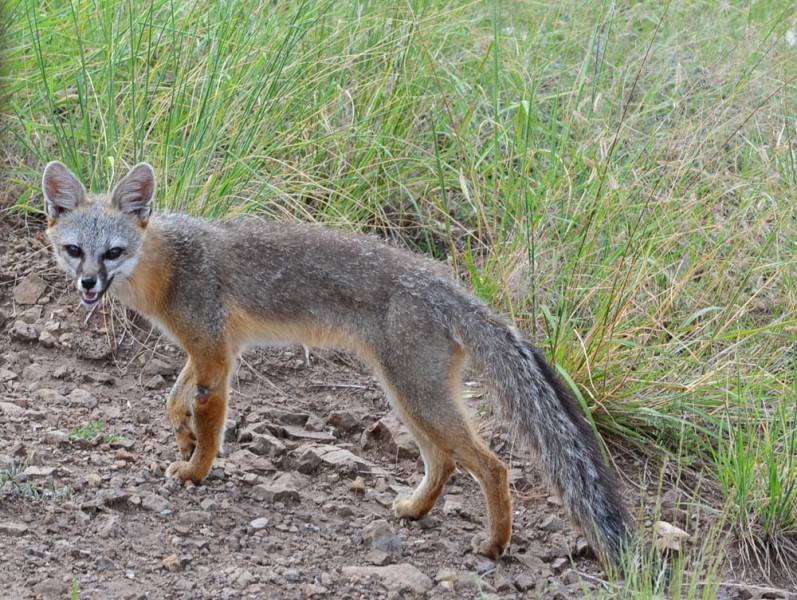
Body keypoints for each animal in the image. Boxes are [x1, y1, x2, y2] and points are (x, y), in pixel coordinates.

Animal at [43, 161, 632, 568]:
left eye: (114, 252)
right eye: (74, 250)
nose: (89, 284)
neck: (166, 264)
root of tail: (449, 284)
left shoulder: (213, 351)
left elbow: (210, 421)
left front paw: (195, 470)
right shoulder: (215, 350)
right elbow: (173, 399)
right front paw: (182, 436)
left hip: (416, 395)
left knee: (492, 466)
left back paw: (493, 545)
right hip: (407, 395)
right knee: (444, 462)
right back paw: (414, 511)